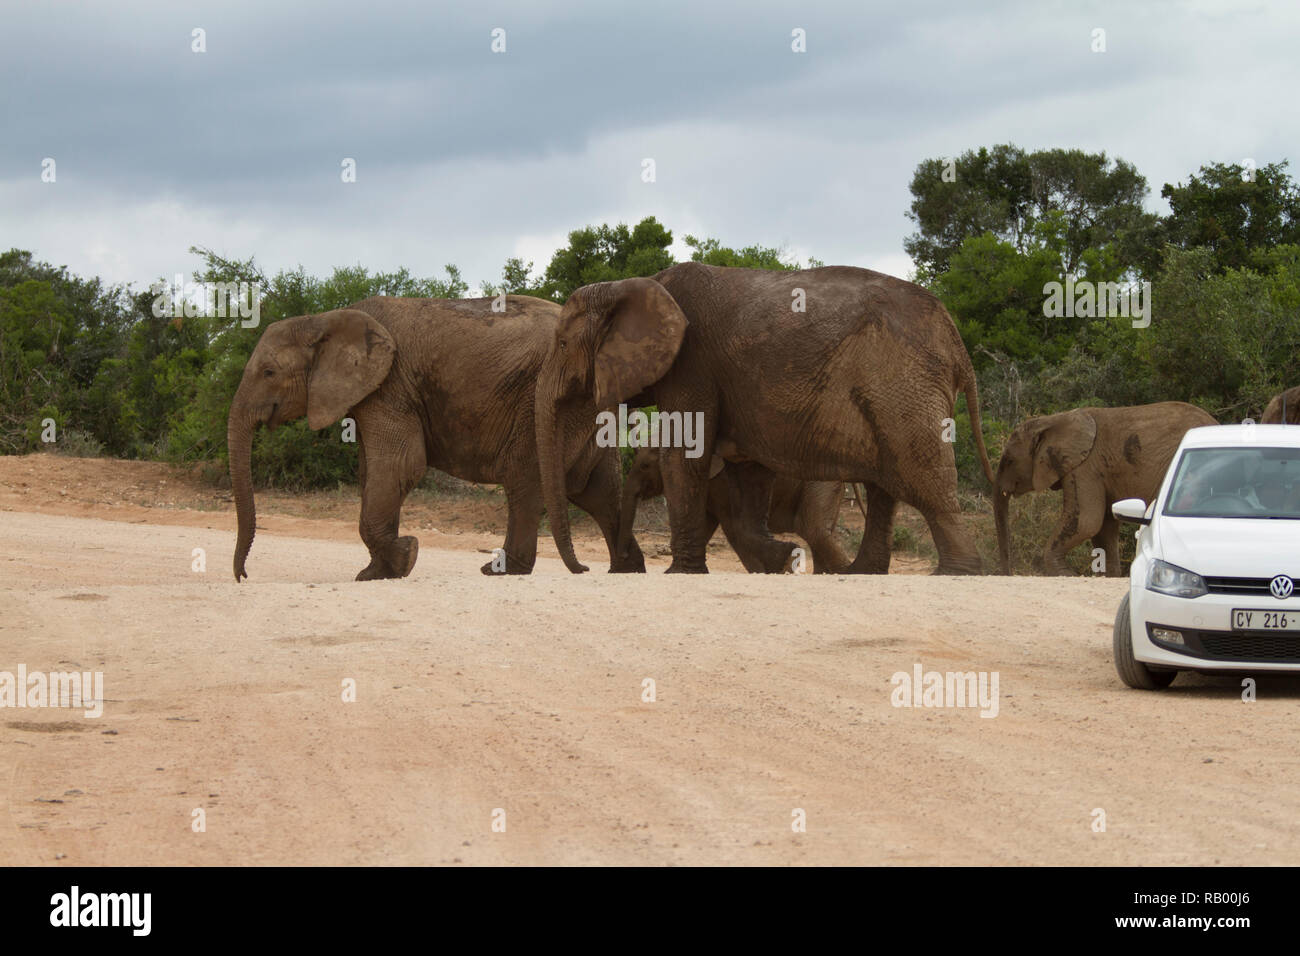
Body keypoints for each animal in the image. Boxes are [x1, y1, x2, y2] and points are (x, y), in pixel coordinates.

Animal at [231, 295, 647, 582]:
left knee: (526, 480)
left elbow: (400, 465)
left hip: (547, 400)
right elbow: (374, 473)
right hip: (585, 409)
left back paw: (501, 570)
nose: (243, 576)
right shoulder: (373, 394)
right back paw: (626, 570)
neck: (324, 319)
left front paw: (405, 556)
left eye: (268, 372)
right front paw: (375, 574)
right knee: (596, 489)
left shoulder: (390, 385)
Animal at [616, 444, 852, 572]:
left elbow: (734, 528)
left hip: (820, 481)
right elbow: (706, 524)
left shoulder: (721, 480)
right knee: (818, 533)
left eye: (645, 466)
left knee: (813, 530)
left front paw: (775, 568)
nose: (624, 556)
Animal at [993, 398, 1216, 574]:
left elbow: (1086, 522)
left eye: (1009, 461)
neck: (1052, 420)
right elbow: (1103, 529)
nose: (1008, 572)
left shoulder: (1084, 467)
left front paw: (1067, 574)